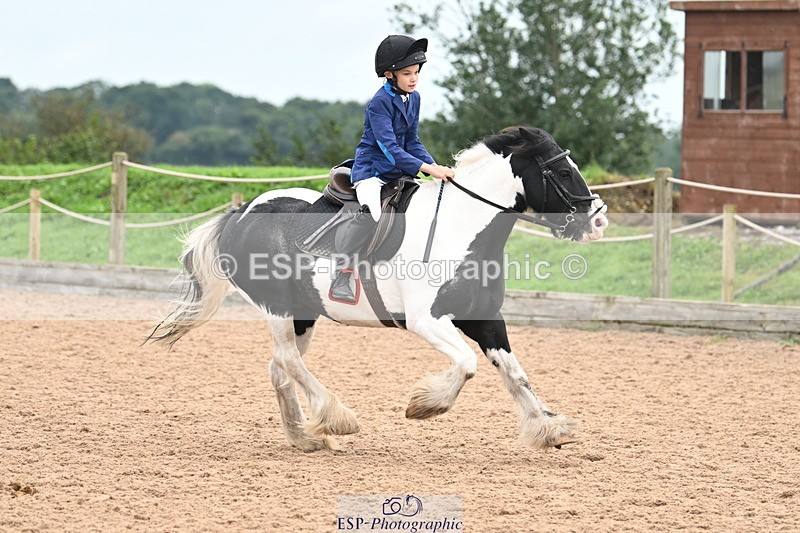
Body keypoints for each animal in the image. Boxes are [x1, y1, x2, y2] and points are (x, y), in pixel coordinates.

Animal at [147, 126, 609, 452]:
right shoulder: (427, 321)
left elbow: (514, 373)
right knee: (288, 361)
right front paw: (425, 405)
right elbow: (466, 364)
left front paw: (548, 427)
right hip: (277, 306)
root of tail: (240, 214)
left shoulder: (484, 318)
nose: (598, 221)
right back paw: (337, 418)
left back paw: (305, 437)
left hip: (303, 314)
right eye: (562, 171)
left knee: (280, 367)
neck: (460, 227)